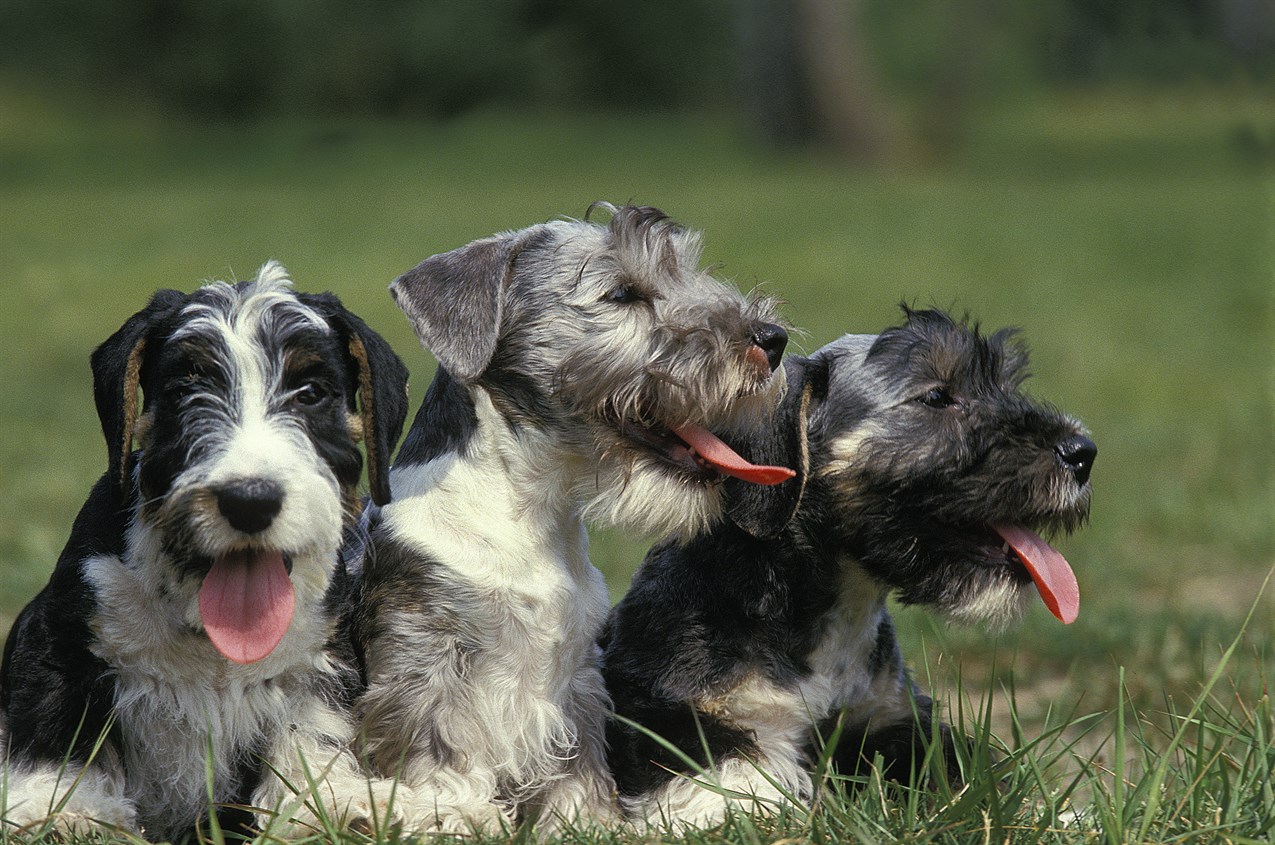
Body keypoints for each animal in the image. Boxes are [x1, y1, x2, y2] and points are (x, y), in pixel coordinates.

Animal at [0, 262, 408, 841]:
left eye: (310, 391)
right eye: (185, 388)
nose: (250, 499)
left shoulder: (321, 657)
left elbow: (310, 727)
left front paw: (323, 806)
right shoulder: (61, 636)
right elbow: (59, 725)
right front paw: (63, 810)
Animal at [354, 205, 790, 830]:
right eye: (622, 293)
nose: (772, 339)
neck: (530, 512)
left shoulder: (578, 682)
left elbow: (580, 770)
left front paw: (588, 824)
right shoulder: (421, 657)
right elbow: (436, 753)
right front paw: (454, 816)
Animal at [604, 305, 1096, 825]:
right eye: (937, 397)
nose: (1083, 452)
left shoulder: (893, 719)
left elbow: (959, 772)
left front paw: (1059, 816)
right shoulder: (665, 709)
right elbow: (728, 770)